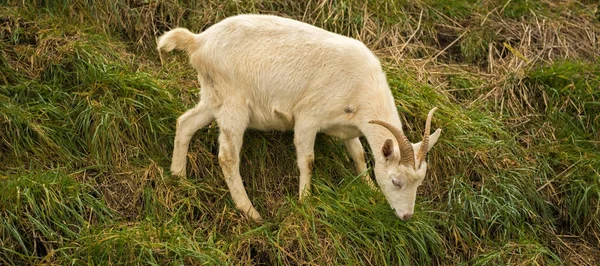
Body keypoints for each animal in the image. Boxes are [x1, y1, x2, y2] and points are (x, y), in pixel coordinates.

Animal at [157, 15, 442, 222]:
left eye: (419, 182)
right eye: (396, 181)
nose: (406, 216)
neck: (361, 88)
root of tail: (198, 41)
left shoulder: (347, 128)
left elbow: (359, 155)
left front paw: (369, 189)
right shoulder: (308, 117)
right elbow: (308, 160)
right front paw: (306, 200)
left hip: (212, 97)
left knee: (185, 123)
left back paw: (179, 177)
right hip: (232, 103)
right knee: (227, 157)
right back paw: (250, 212)